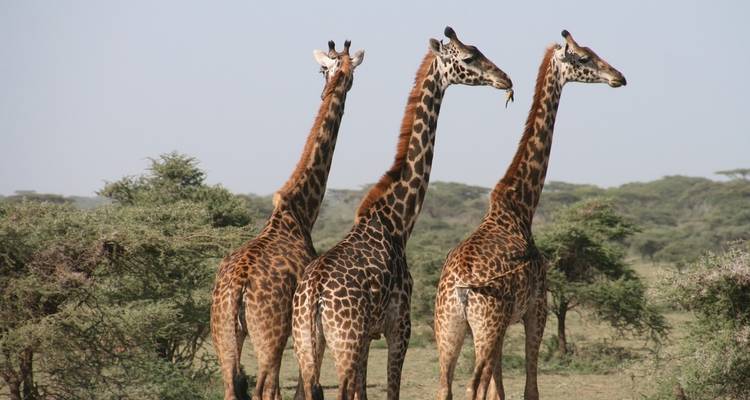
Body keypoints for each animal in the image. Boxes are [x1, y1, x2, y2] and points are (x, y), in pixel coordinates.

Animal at [210, 40, 364, 400]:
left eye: (327, 69)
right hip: (270, 333)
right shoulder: (300, 327)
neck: (300, 212)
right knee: (264, 388)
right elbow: (301, 387)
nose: (339, 84)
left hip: (223, 333)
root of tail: (237, 287)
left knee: (232, 386)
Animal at [292, 27, 513, 400]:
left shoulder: (370, 335)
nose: (505, 78)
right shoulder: (400, 326)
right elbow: (391, 389)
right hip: (345, 341)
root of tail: (314, 296)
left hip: (307, 344)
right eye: (469, 57)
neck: (397, 220)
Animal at [433, 30, 626, 400]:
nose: (618, 77)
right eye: (584, 57)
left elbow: (500, 390)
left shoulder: (507, 322)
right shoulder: (537, 310)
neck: (521, 206)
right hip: (486, 324)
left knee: (446, 387)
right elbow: (529, 388)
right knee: (472, 386)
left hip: (448, 327)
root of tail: (461, 289)